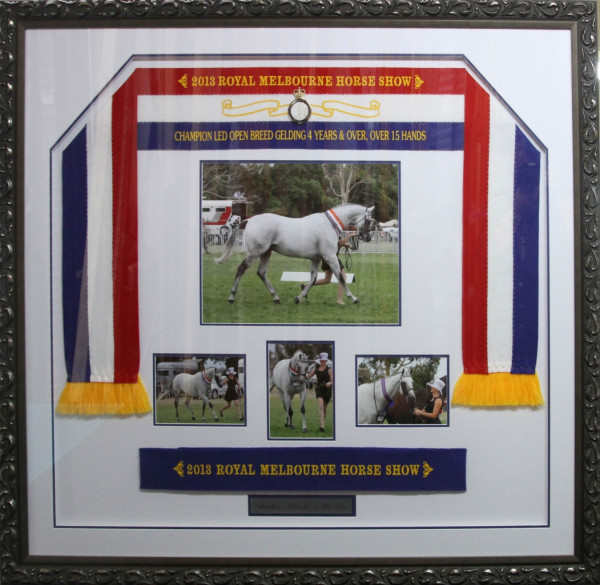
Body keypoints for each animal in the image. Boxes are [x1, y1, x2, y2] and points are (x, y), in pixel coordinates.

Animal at [215, 203, 376, 304]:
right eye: (370, 220)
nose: (368, 237)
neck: (329, 224)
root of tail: (249, 220)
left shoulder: (316, 259)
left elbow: (312, 279)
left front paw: (299, 298)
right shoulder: (330, 257)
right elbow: (340, 278)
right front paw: (354, 298)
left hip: (266, 252)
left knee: (261, 273)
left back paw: (276, 298)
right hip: (255, 252)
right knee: (241, 269)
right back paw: (231, 296)